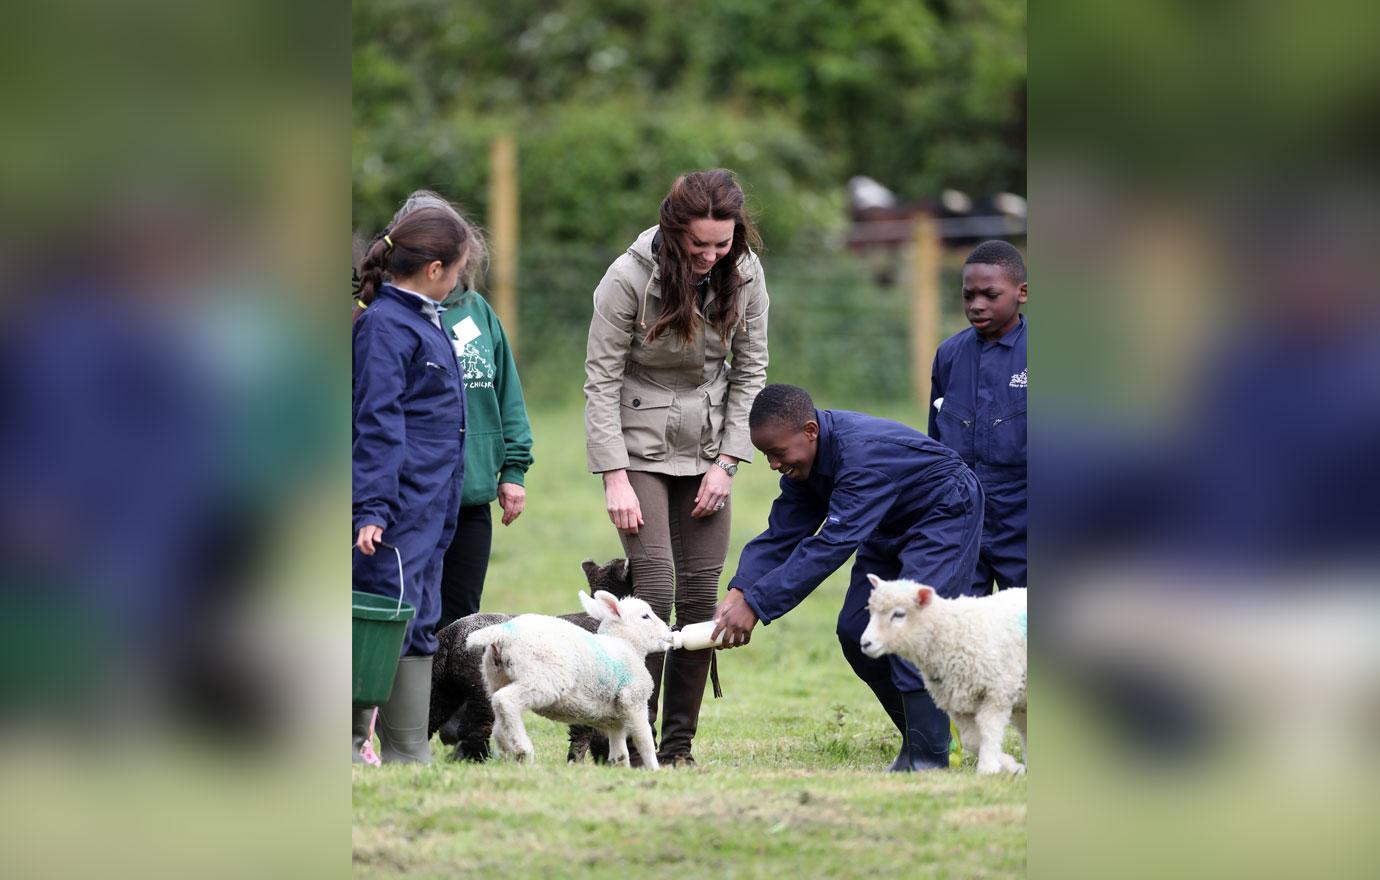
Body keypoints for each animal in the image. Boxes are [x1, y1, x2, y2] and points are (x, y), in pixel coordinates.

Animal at [469, 593, 673, 772]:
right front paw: (654, 769)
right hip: (542, 678)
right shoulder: (633, 700)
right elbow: (644, 740)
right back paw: (522, 748)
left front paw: (620, 768)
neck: (626, 645)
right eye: (645, 616)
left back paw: (506, 747)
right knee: (505, 701)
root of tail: (502, 633)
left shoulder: (613, 720)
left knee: (498, 711)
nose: (670, 632)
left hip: (496, 676)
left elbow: (619, 752)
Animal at [861, 576, 1026, 777]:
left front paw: (989, 768)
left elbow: (989, 731)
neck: (952, 631)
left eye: (898, 614)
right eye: (871, 612)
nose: (865, 643)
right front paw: (1010, 765)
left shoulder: (998, 692)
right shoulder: (959, 703)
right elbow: (972, 740)